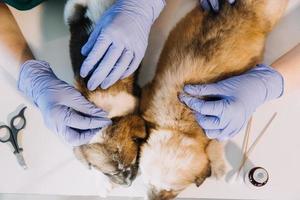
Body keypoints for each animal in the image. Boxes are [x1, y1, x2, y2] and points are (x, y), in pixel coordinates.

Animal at [139, 0, 288, 199]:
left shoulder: (221, 125)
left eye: (174, 191)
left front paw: (217, 166)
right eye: (149, 183)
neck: (178, 124)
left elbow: (214, 145)